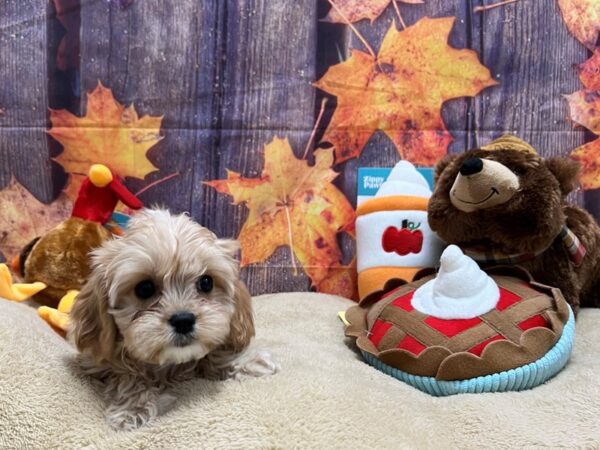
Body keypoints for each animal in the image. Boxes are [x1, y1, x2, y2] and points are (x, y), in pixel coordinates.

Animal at [68, 209, 278, 430]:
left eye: (206, 282)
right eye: (144, 288)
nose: (183, 320)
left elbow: (213, 353)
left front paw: (249, 361)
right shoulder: (95, 363)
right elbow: (125, 374)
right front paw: (133, 408)